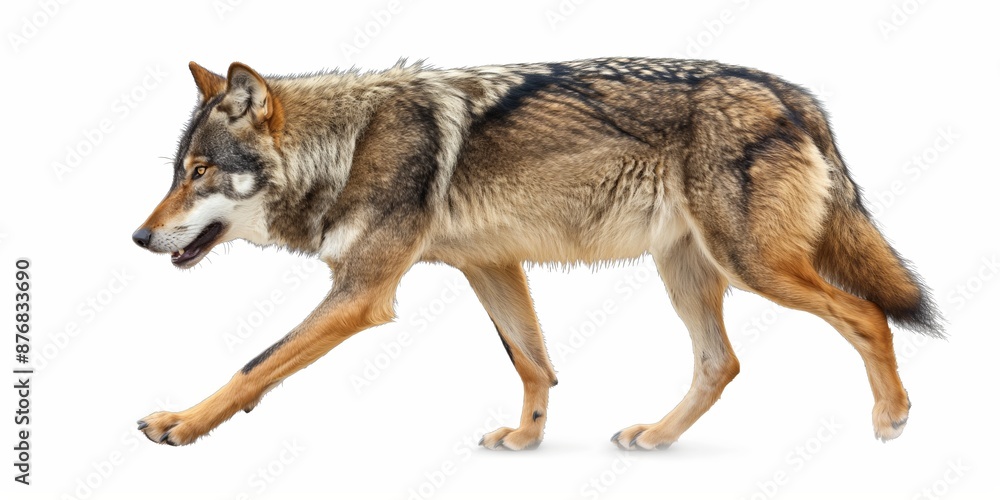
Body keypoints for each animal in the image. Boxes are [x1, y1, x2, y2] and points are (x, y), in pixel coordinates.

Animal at [132, 57, 942, 450]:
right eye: (174, 173)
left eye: (199, 173)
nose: (138, 238)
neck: (349, 146)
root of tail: (798, 97)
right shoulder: (490, 265)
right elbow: (533, 362)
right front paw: (527, 438)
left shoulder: (362, 294)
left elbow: (254, 365)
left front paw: (182, 424)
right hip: (687, 271)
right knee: (721, 363)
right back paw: (655, 437)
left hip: (752, 266)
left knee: (866, 315)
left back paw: (893, 418)